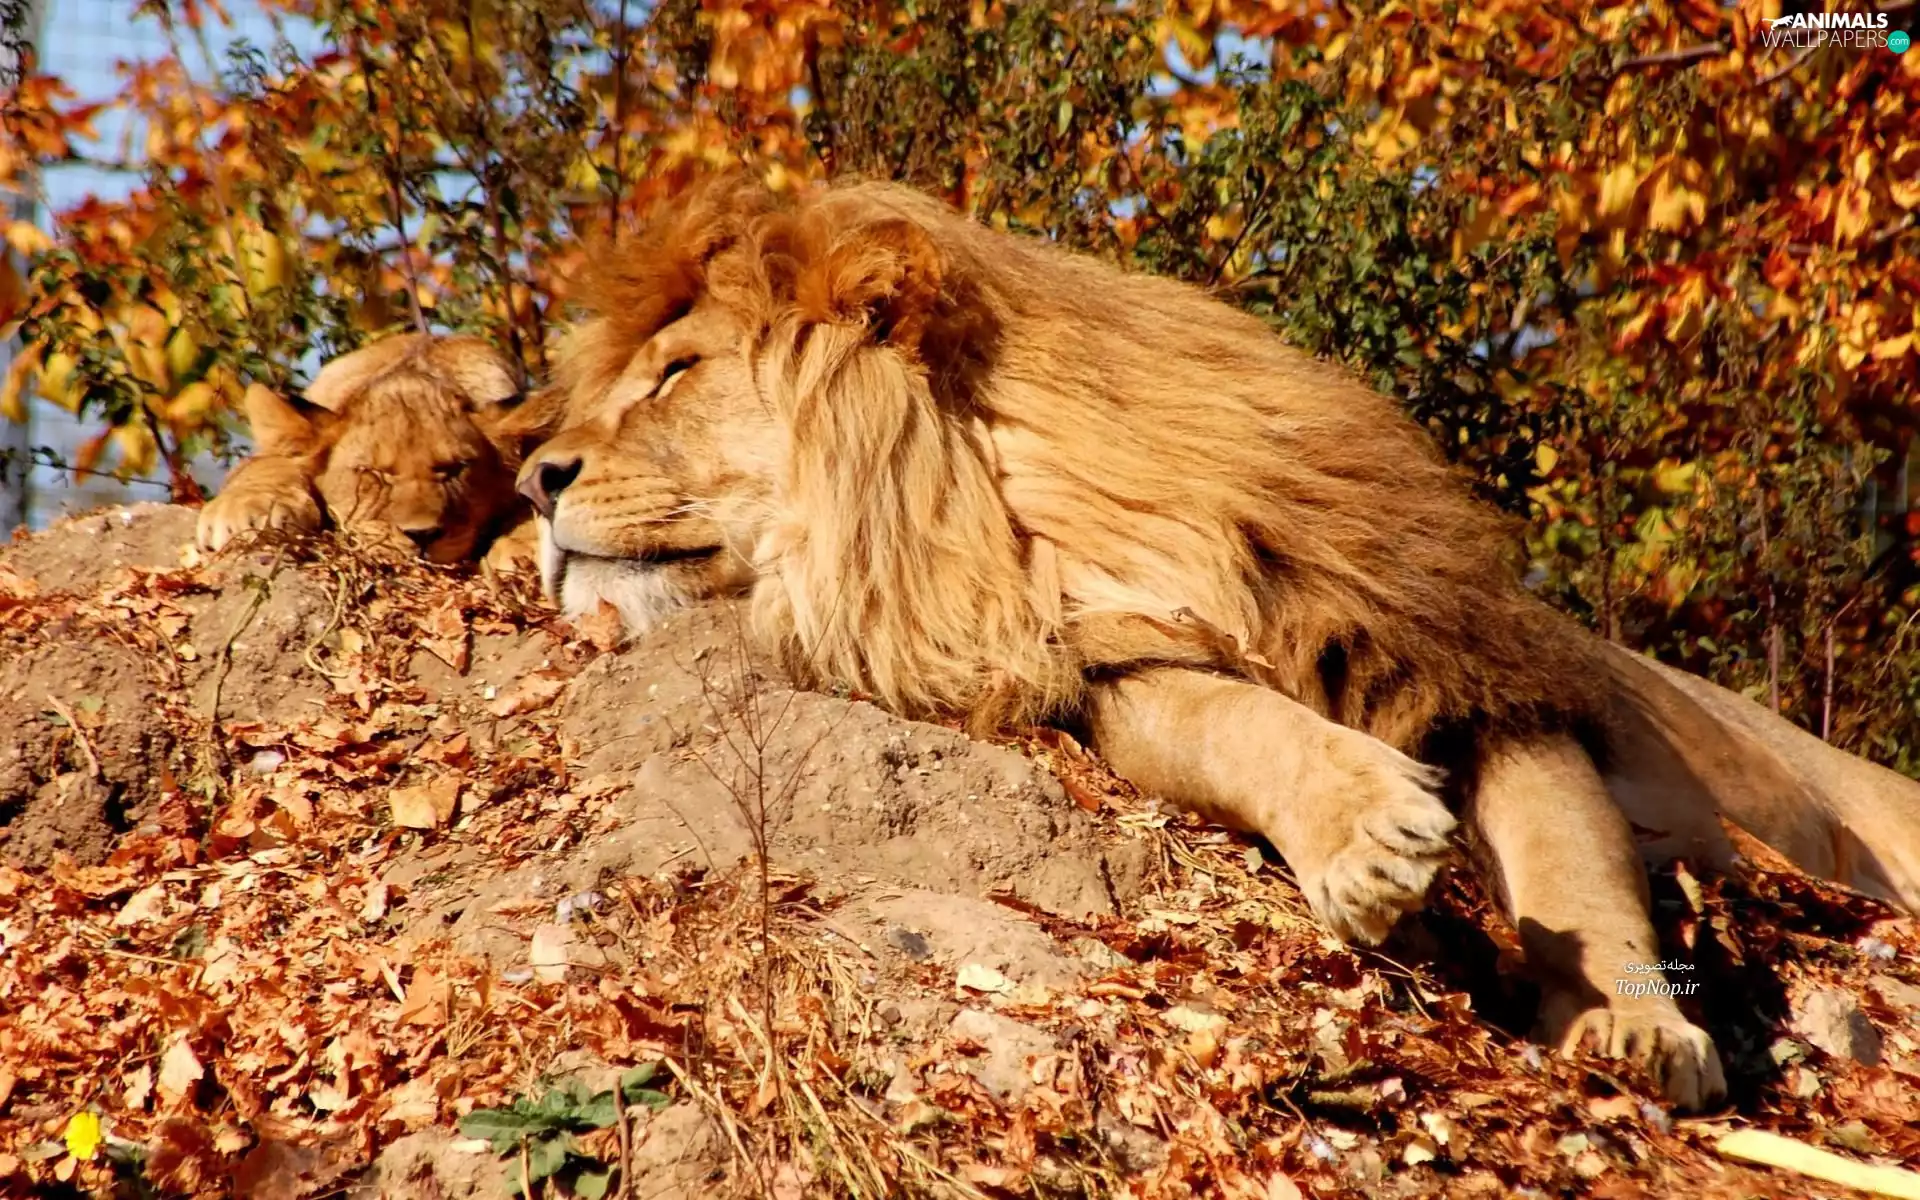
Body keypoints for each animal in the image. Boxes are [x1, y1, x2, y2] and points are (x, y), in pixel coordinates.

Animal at [194, 334, 555, 568]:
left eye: (455, 468)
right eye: (374, 473)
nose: (422, 536)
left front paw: (524, 547)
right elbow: (267, 465)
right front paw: (242, 512)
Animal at [515, 175, 1920, 1111]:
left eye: (678, 373)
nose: (535, 479)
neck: (1018, 512)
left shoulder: (1463, 663)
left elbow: (1573, 857)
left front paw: (1639, 1035)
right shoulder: (1102, 664)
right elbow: (1233, 720)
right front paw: (1372, 838)